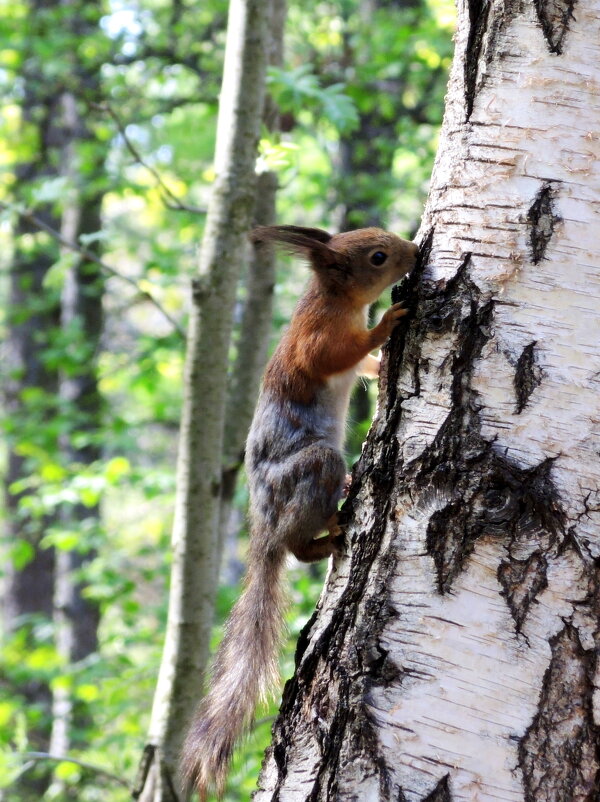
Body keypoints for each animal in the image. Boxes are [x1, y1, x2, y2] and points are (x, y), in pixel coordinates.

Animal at [180, 227, 420, 800]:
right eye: (378, 256)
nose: (416, 251)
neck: (331, 299)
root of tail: (264, 531)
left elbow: (366, 367)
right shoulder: (315, 342)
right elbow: (341, 353)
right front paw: (388, 323)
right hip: (313, 471)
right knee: (296, 542)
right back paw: (326, 534)